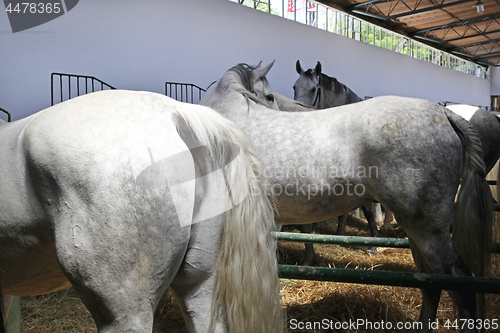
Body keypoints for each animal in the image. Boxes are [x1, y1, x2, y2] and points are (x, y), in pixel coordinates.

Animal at [201, 61, 494, 330]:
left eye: (272, 96)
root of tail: (444, 113)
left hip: (429, 231)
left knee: (460, 287)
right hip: (417, 231)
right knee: (431, 284)